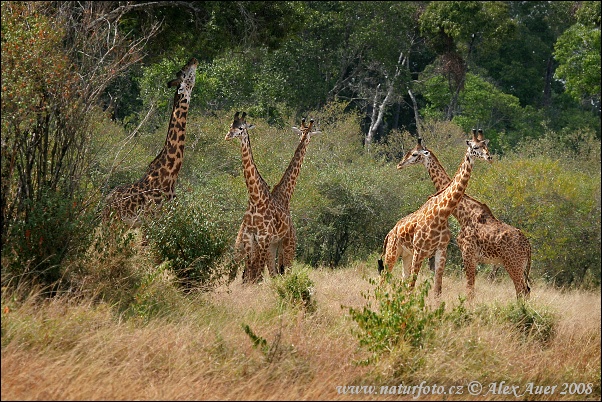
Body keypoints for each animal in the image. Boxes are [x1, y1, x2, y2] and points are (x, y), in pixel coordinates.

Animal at [102, 57, 197, 228]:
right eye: (184, 73)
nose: (194, 60)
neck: (171, 174)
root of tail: (106, 199)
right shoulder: (152, 220)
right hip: (112, 222)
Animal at [224, 111, 292, 284]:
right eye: (230, 125)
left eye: (241, 128)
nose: (228, 136)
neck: (255, 199)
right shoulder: (249, 237)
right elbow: (250, 271)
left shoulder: (263, 237)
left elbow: (257, 272)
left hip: (281, 242)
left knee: (277, 269)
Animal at [376, 130, 492, 296]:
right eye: (475, 147)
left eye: (485, 146)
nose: (399, 164)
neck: (442, 214)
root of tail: (390, 233)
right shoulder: (420, 251)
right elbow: (412, 286)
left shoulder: (441, 251)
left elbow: (437, 289)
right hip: (393, 252)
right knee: (384, 279)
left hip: (406, 255)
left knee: (400, 280)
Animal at [394, 133, 528, 296]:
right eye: (477, 147)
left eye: (414, 154)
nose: (400, 164)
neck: (463, 213)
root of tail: (529, 247)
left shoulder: (467, 253)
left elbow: (469, 290)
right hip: (519, 267)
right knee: (526, 291)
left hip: (513, 265)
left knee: (521, 291)